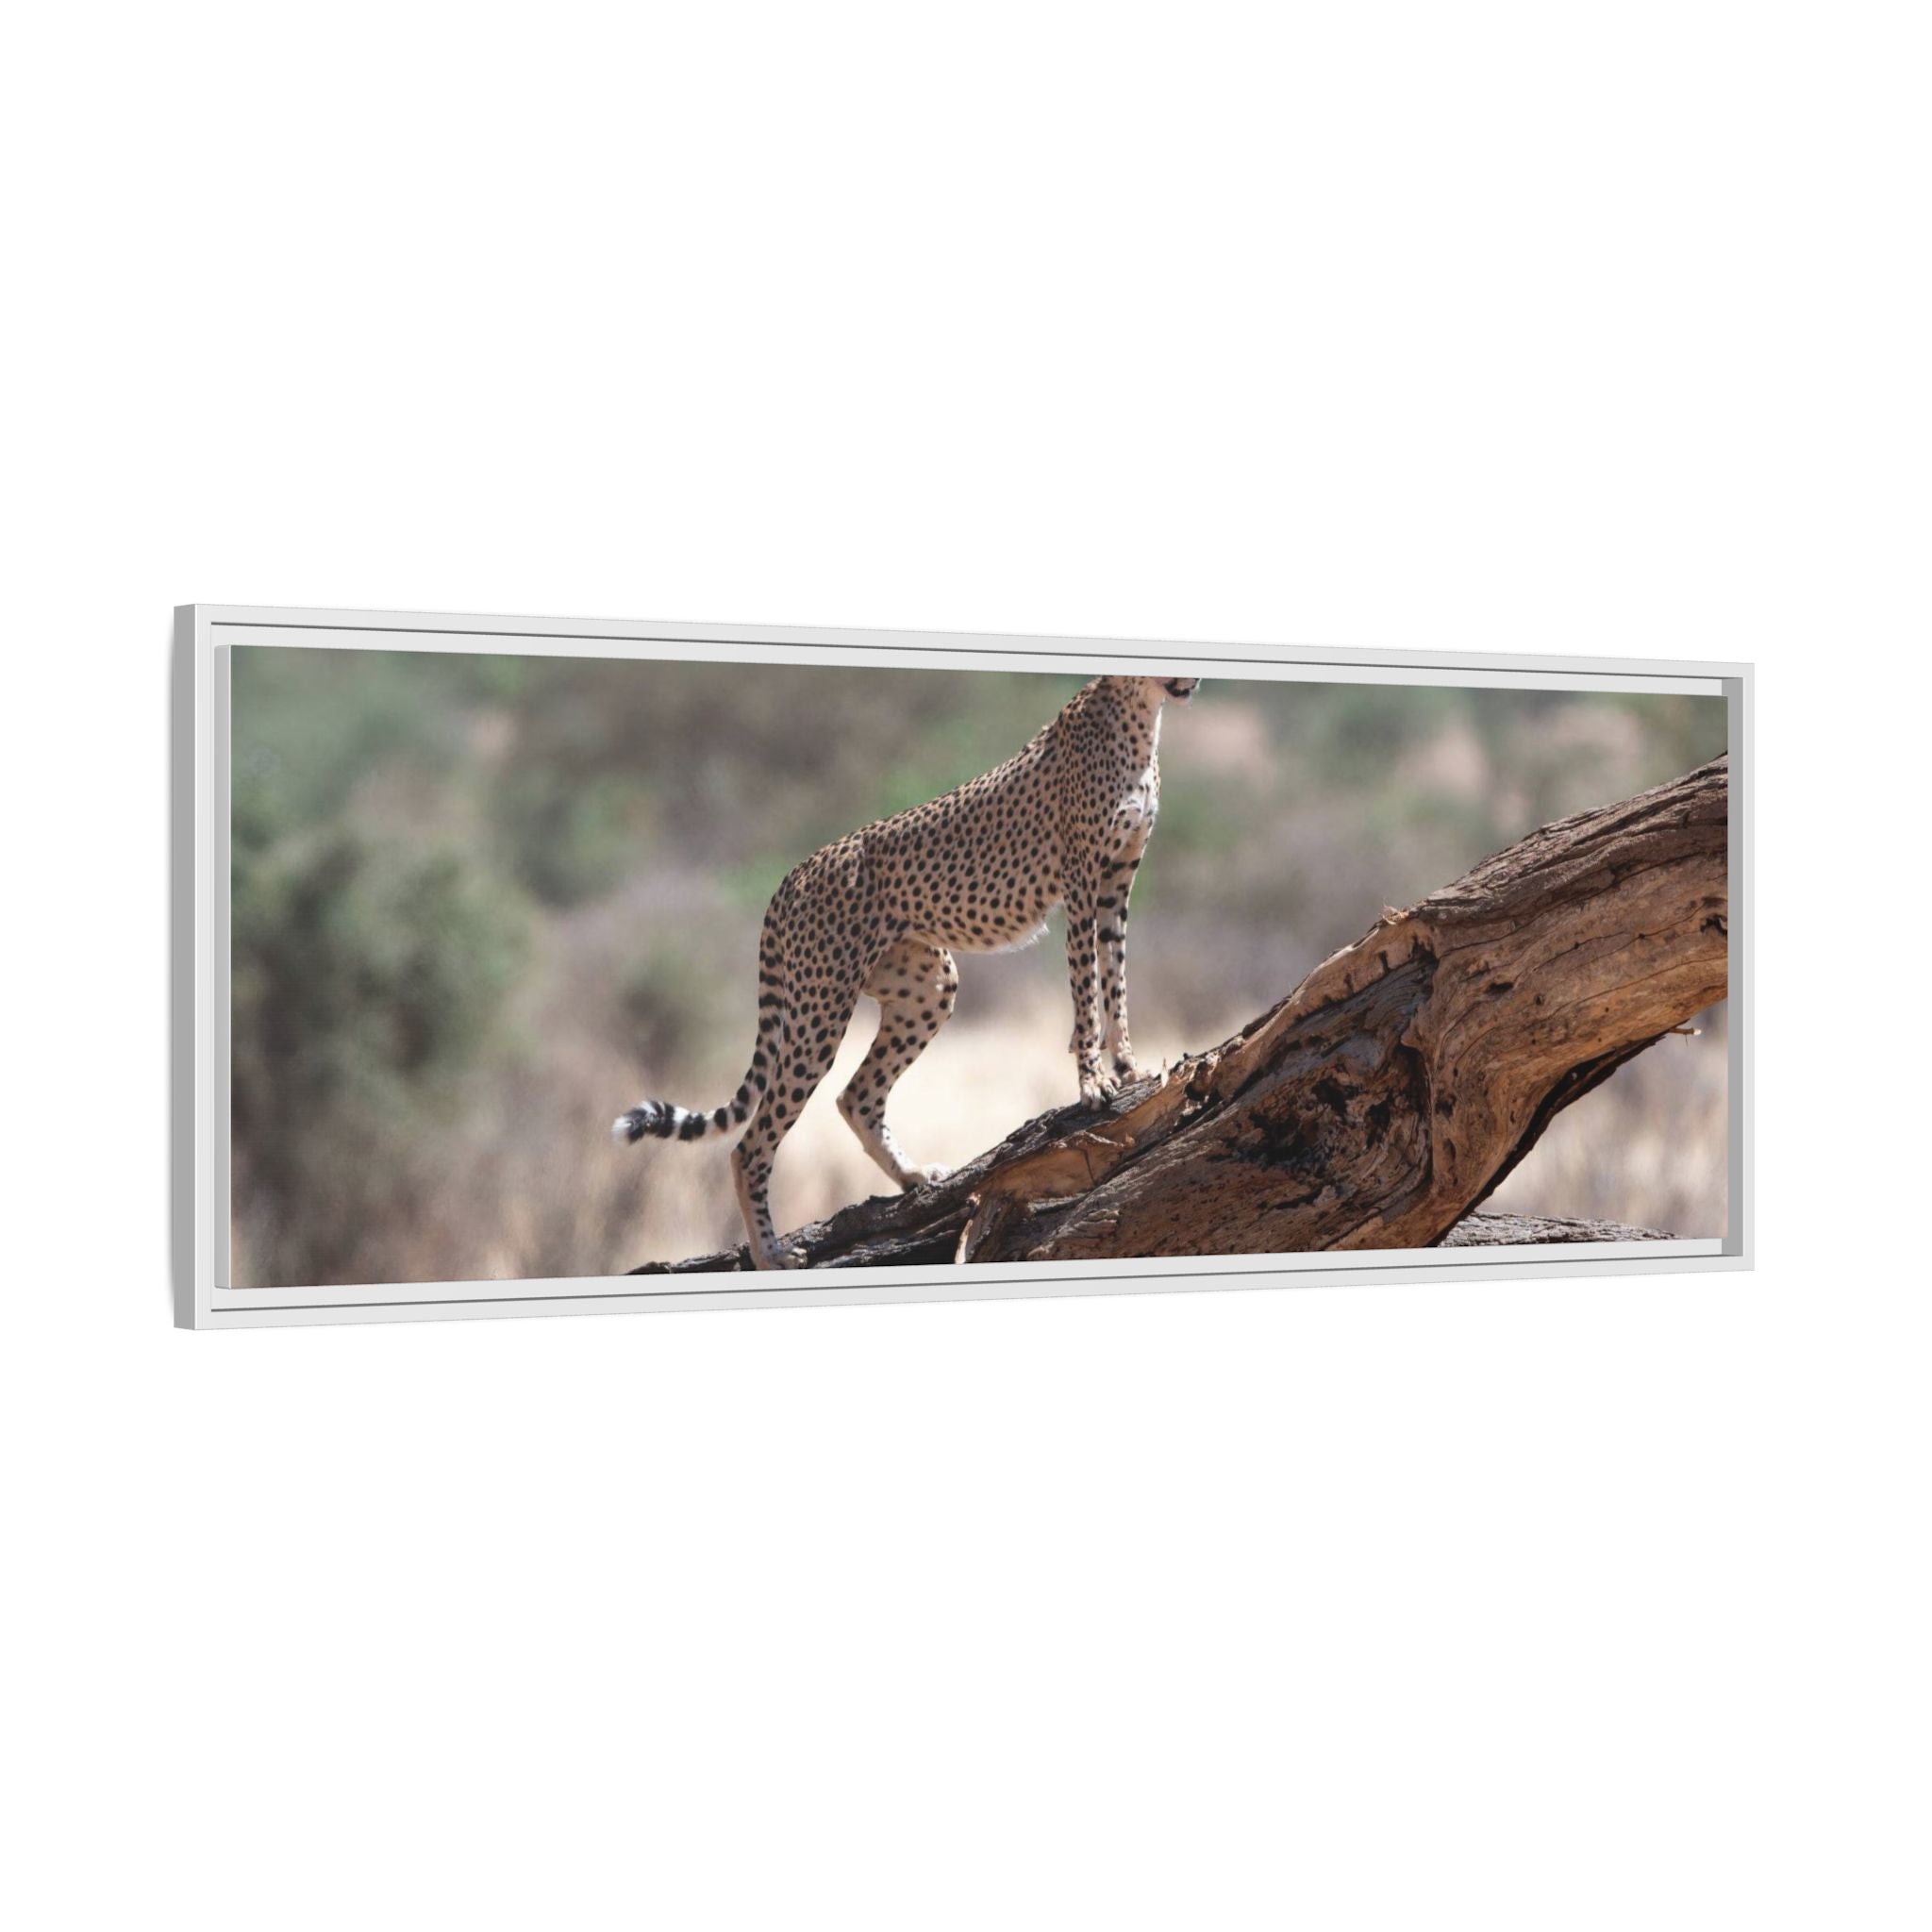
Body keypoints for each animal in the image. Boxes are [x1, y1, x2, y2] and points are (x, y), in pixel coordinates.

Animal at [612, 672, 1201, 1270]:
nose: (1192, 680)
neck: (1140, 715)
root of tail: (795, 872)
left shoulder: (1117, 882)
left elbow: (1115, 979)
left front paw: (1128, 1067)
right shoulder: (1081, 880)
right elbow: (1086, 988)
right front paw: (1092, 1081)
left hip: (928, 987)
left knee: (855, 1097)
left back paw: (913, 1176)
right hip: (820, 1009)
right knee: (751, 1144)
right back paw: (770, 1254)